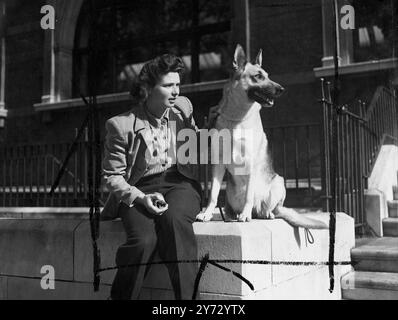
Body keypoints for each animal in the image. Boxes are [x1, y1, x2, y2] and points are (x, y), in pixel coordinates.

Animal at [197, 45, 330, 230]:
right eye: (258, 76)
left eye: (267, 75)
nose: (281, 89)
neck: (237, 118)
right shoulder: (218, 163)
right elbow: (213, 194)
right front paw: (207, 213)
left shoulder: (251, 162)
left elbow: (248, 195)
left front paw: (245, 215)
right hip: (230, 191)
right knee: (231, 207)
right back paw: (232, 215)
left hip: (278, 182)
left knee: (270, 208)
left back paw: (264, 213)